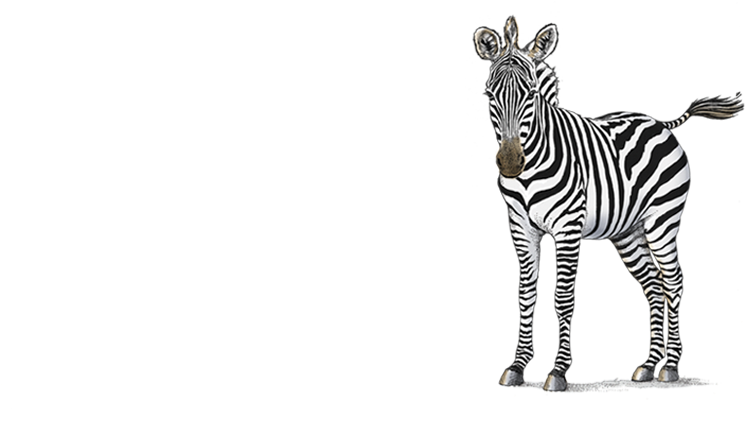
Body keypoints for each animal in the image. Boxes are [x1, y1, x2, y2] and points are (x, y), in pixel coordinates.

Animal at [473, 16, 743, 392]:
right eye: (488, 95)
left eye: (531, 94)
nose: (511, 163)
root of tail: (660, 122)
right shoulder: (520, 227)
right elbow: (525, 295)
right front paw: (517, 366)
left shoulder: (567, 227)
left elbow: (562, 297)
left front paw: (558, 371)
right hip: (627, 233)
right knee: (654, 285)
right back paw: (647, 365)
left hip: (662, 222)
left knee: (673, 281)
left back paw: (670, 367)